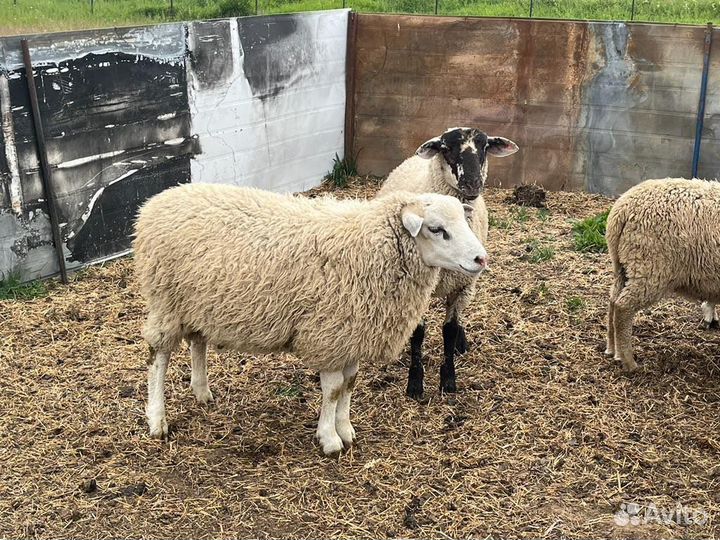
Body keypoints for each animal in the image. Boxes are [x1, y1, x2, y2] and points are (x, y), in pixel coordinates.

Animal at [134, 183, 487, 457]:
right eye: (436, 229)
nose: (481, 258)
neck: (371, 246)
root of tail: (153, 203)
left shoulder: (352, 332)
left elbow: (349, 384)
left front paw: (346, 429)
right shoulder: (330, 333)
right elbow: (332, 390)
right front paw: (330, 439)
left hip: (195, 303)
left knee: (198, 342)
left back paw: (202, 391)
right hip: (166, 300)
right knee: (158, 357)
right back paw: (157, 420)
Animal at [378, 127, 518, 398]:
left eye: (485, 146)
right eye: (446, 148)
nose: (473, 183)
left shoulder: (462, 285)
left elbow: (449, 330)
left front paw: (449, 380)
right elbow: (418, 333)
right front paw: (415, 382)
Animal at [605, 178, 720, 371]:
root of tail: (622, 208)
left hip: (624, 266)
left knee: (613, 302)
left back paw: (613, 350)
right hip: (650, 267)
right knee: (623, 307)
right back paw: (629, 362)